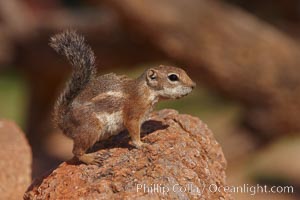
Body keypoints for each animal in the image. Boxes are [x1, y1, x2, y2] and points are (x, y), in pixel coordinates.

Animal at [49, 29, 196, 164]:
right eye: (173, 77)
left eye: (182, 70)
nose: (193, 85)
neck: (146, 91)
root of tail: (63, 121)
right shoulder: (133, 113)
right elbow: (132, 129)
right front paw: (140, 144)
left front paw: (144, 133)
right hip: (90, 128)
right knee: (76, 152)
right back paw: (90, 158)